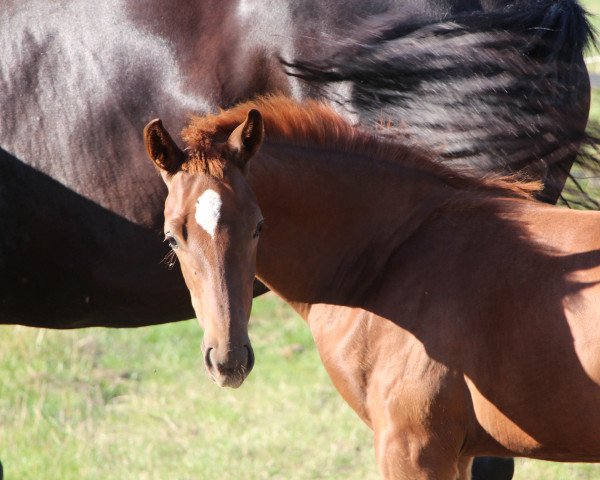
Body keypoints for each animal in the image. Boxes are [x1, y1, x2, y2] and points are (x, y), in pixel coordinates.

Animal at [144, 95, 600, 478]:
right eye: (171, 238)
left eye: (259, 226)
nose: (229, 360)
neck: (395, 254)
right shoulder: (459, 453)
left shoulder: (414, 449)